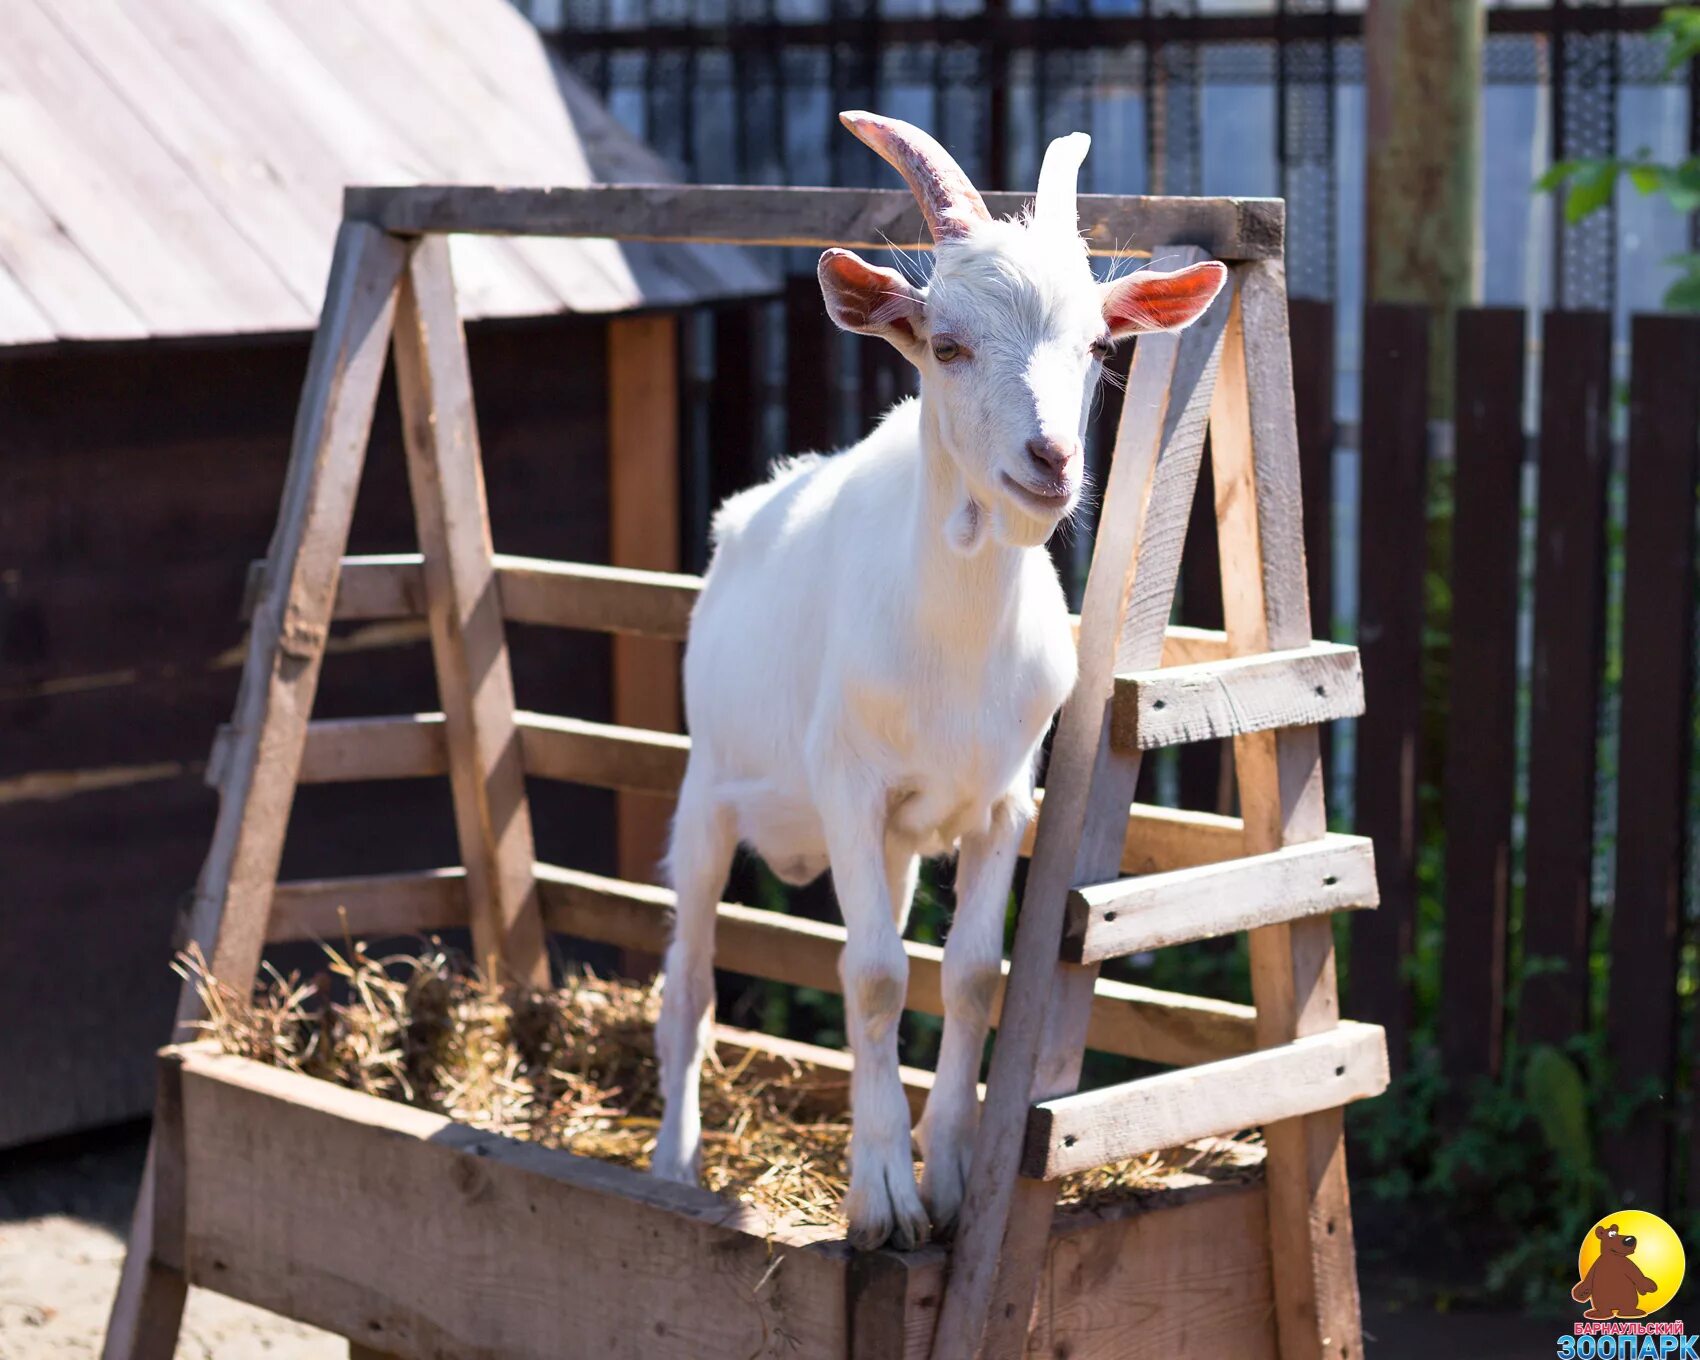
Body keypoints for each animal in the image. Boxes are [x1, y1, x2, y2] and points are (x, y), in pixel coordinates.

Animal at [649, 111, 1224, 1251]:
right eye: (945, 345)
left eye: (1100, 348)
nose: (1049, 460)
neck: (952, 649)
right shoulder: (846, 781)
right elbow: (872, 977)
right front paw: (883, 1199)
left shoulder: (1000, 801)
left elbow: (964, 976)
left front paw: (951, 1175)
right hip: (708, 795)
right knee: (688, 980)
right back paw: (672, 1165)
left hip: (897, 843)